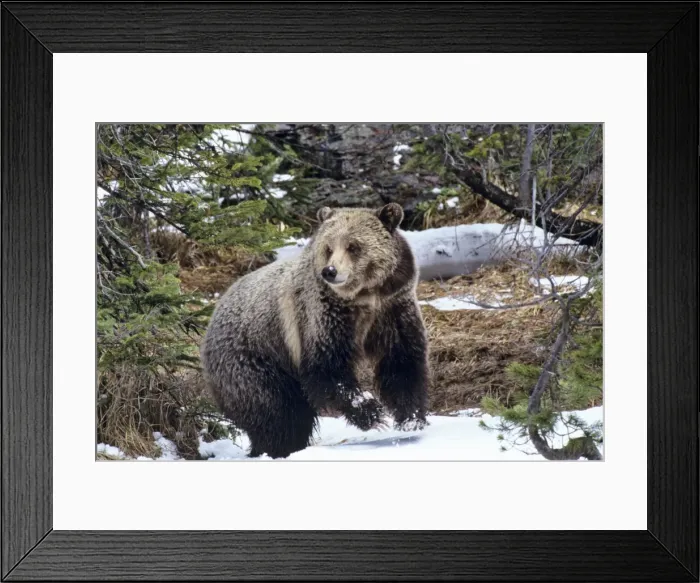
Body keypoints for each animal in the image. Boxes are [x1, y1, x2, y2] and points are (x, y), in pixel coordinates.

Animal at [200, 202, 429, 458]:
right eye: (329, 248)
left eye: (353, 246)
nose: (330, 271)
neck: (364, 297)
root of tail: (211, 320)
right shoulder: (322, 317)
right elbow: (326, 369)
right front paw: (372, 412)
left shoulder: (392, 309)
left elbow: (402, 362)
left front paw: (411, 418)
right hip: (253, 360)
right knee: (276, 413)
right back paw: (276, 449)